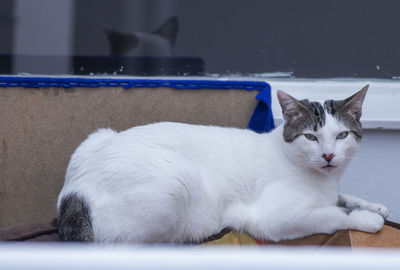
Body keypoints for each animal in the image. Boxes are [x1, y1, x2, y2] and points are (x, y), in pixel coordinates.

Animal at [56, 85, 388, 244]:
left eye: (341, 135)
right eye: (311, 136)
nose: (329, 156)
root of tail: (74, 192)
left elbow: (342, 198)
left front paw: (375, 206)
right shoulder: (272, 218)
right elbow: (331, 213)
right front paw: (367, 219)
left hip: (97, 135)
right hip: (176, 179)